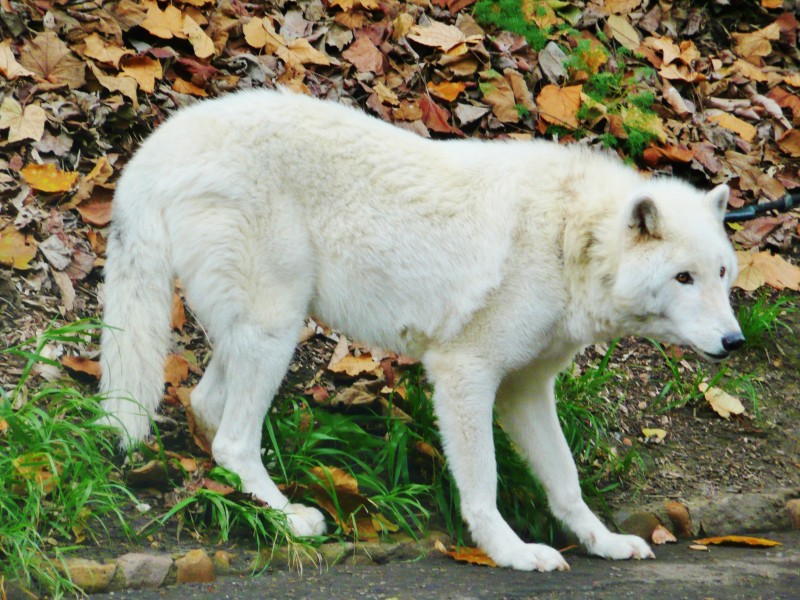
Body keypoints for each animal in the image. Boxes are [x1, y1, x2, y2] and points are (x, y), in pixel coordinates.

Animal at [100, 89, 744, 572]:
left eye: (720, 273)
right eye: (683, 277)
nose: (735, 342)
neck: (568, 238)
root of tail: (161, 141)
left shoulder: (527, 389)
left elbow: (565, 480)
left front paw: (602, 541)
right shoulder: (465, 374)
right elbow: (482, 484)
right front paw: (512, 553)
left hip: (262, 328)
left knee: (207, 407)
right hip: (275, 328)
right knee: (234, 438)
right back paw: (289, 518)